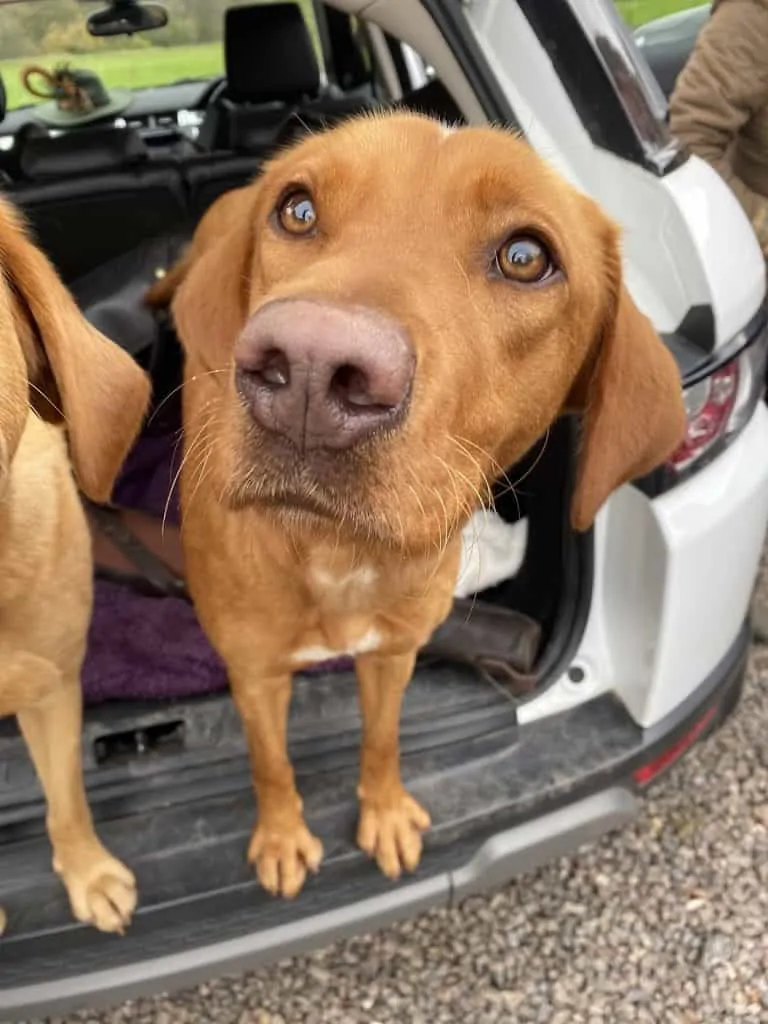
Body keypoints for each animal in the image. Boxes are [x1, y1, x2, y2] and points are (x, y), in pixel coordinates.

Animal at [150, 112, 684, 897]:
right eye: (298, 210)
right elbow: (271, 764)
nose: (309, 368)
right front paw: (281, 837)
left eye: (526, 256)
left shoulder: (393, 653)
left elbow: (383, 738)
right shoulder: (254, 673)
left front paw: (386, 811)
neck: (337, 553)